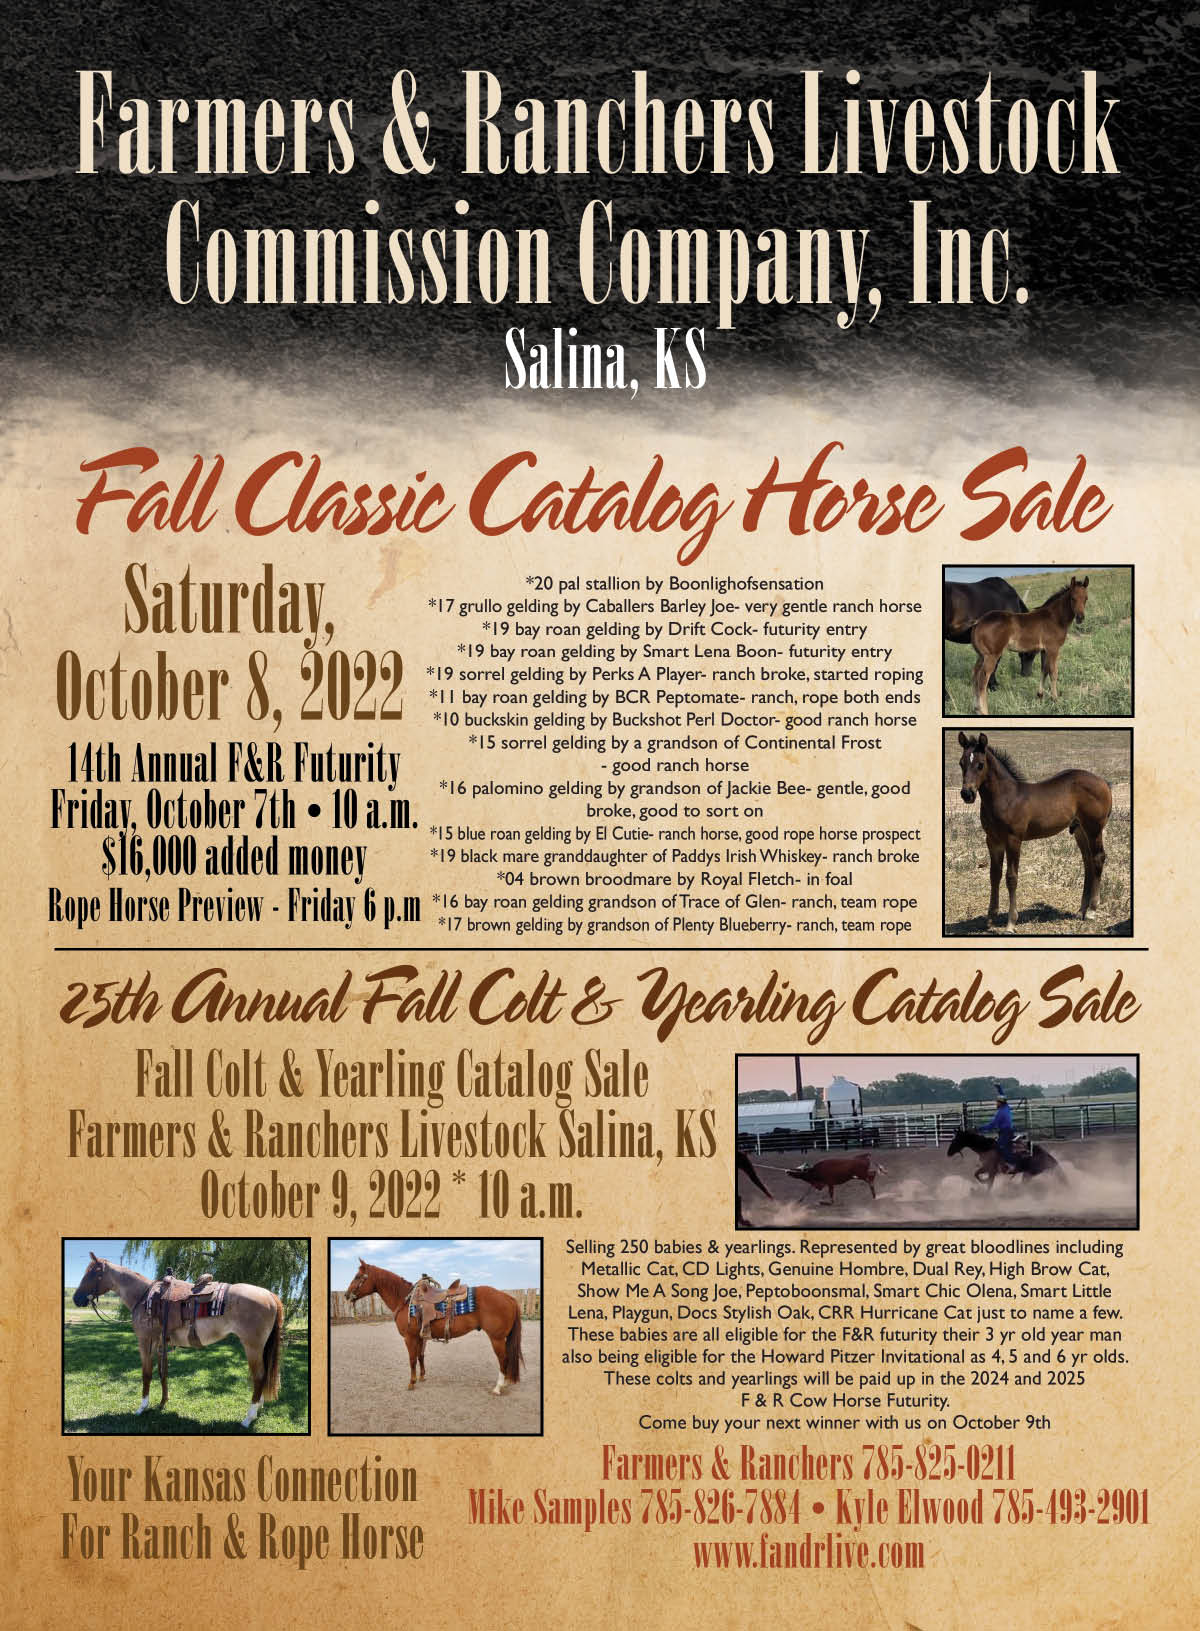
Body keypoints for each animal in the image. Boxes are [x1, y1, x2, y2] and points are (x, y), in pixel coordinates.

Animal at [71, 1252, 284, 1428]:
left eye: (93, 1274)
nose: (76, 1299)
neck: (144, 1296)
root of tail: (269, 1295)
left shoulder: (145, 1342)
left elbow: (146, 1374)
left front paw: (142, 1407)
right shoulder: (160, 1344)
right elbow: (162, 1373)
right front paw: (163, 1402)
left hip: (252, 1346)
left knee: (259, 1376)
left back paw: (248, 1418)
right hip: (261, 1347)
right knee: (264, 1375)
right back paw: (259, 1408)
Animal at [345, 1259, 522, 1396]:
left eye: (358, 1276)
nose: (347, 1295)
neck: (404, 1300)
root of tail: (509, 1298)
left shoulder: (409, 1338)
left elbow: (412, 1359)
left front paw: (411, 1383)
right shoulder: (420, 1337)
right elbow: (420, 1356)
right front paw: (422, 1377)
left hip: (496, 1338)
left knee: (503, 1359)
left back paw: (498, 1387)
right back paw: (505, 1383)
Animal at [956, 731, 1112, 931]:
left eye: (980, 764)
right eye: (961, 763)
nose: (967, 794)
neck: (1006, 798)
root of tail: (1103, 782)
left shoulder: (1013, 839)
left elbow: (1011, 878)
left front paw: (1010, 923)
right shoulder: (992, 840)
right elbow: (994, 875)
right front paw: (990, 918)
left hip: (1094, 827)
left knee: (1098, 858)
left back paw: (1092, 911)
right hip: (1079, 829)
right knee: (1088, 861)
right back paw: (1081, 911)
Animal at [969, 577, 1089, 715]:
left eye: (1086, 598)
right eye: (1073, 598)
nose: (1080, 618)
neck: (1055, 618)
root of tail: (978, 622)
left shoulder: (1044, 650)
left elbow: (1044, 670)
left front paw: (1040, 696)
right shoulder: (1053, 649)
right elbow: (1053, 672)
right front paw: (1055, 700)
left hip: (982, 655)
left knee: (975, 675)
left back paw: (976, 708)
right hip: (992, 656)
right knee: (983, 679)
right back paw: (984, 711)